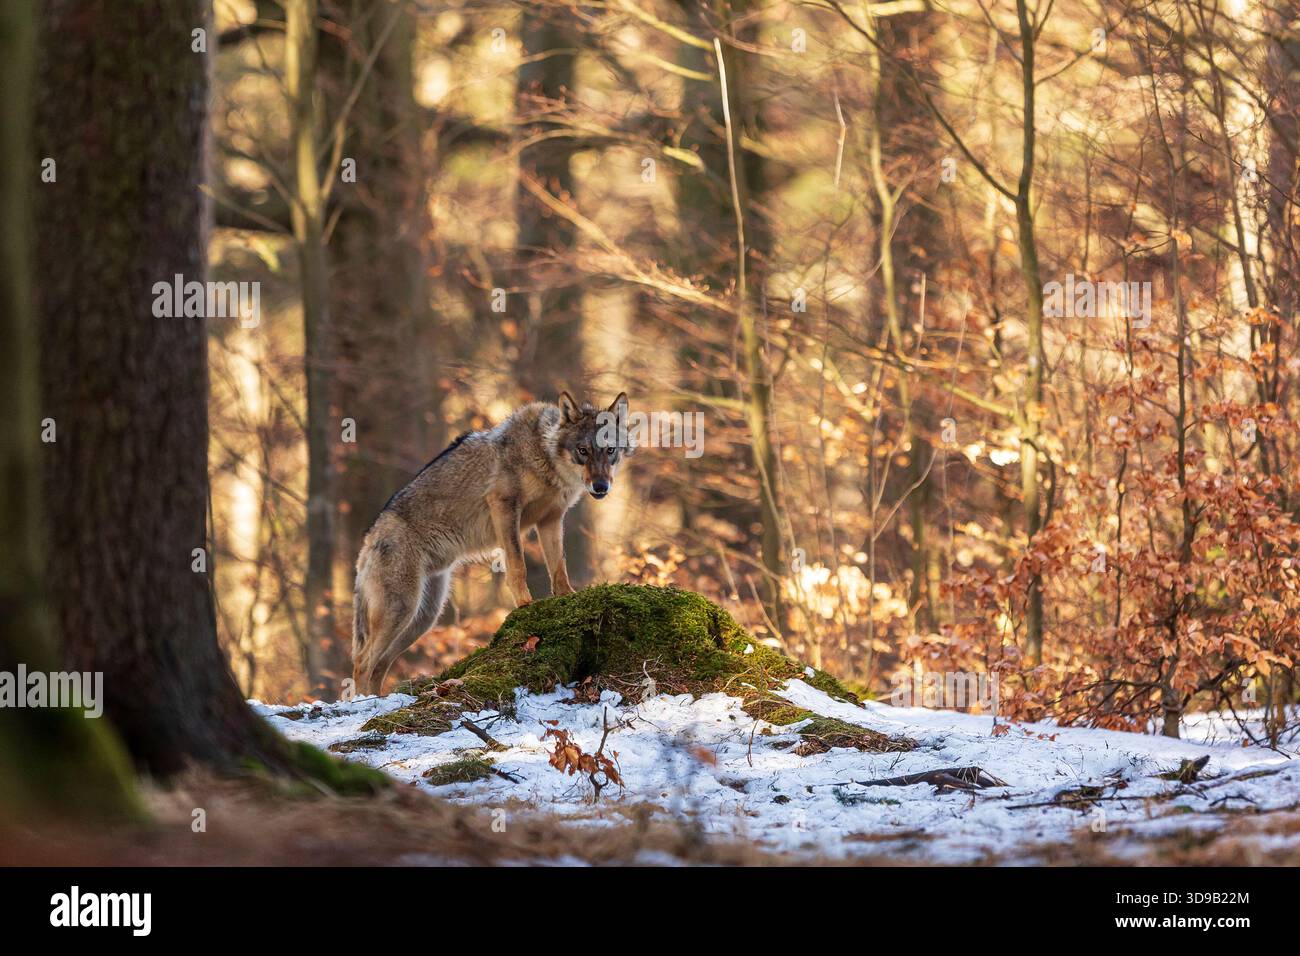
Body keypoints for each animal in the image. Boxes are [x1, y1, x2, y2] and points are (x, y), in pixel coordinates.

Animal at [351, 391, 631, 695]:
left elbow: (558, 568)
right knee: (362, 662)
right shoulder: (504, 507)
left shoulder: (551, 519)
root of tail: (368, 539)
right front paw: (525, 606)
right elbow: (518, 566)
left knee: (378, 666)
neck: (543, 456)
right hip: (402, 609)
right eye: (583, 451)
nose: (601, 487)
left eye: (610, 450)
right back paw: (364, 702)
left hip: (423, 618)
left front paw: (567, 597)